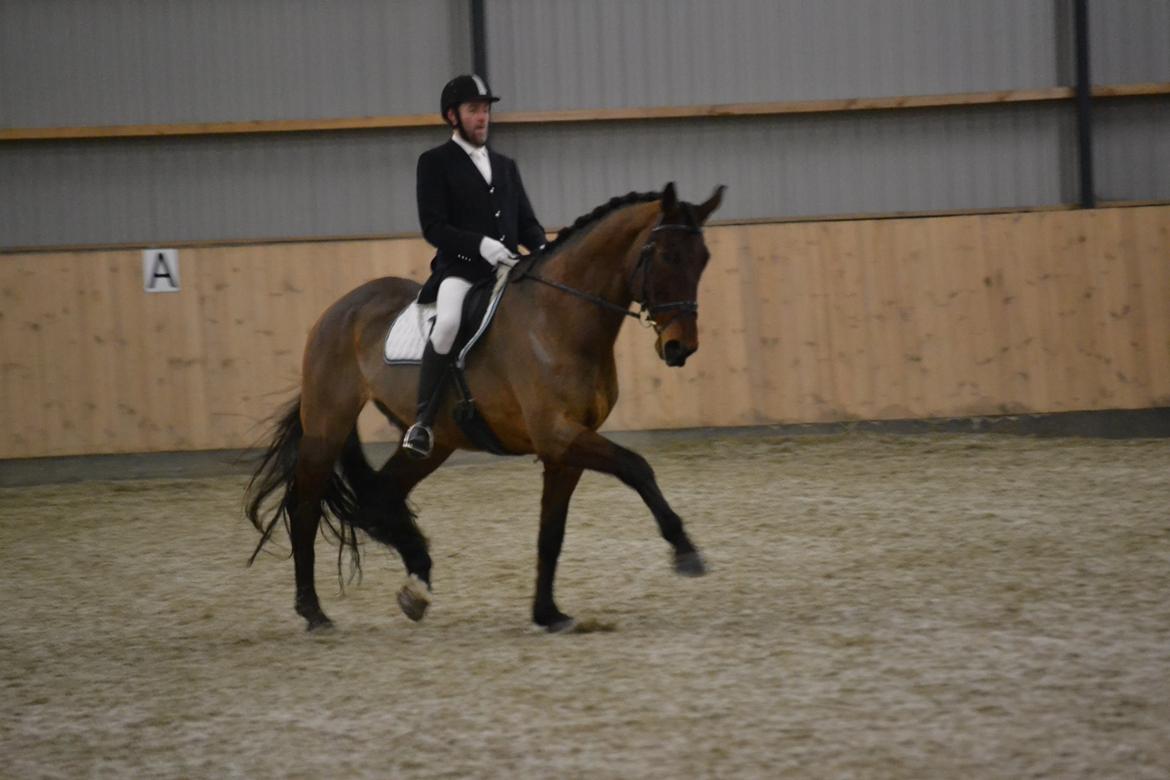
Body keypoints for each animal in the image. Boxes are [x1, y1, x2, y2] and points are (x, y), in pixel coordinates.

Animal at [244, 184, 720, 636]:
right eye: (667, 256)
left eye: (703, 261)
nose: (680, 348)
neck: (559, 318)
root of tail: (340, 309)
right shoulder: (558, 435)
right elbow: (637, 466)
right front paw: (686, 552)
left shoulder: (563, 451)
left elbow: (551, 533)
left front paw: (548, 613)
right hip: (327, 426)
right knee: (304, 509)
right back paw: (314, 611)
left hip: (435, 443)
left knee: (381, 492)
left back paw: (417, 584)